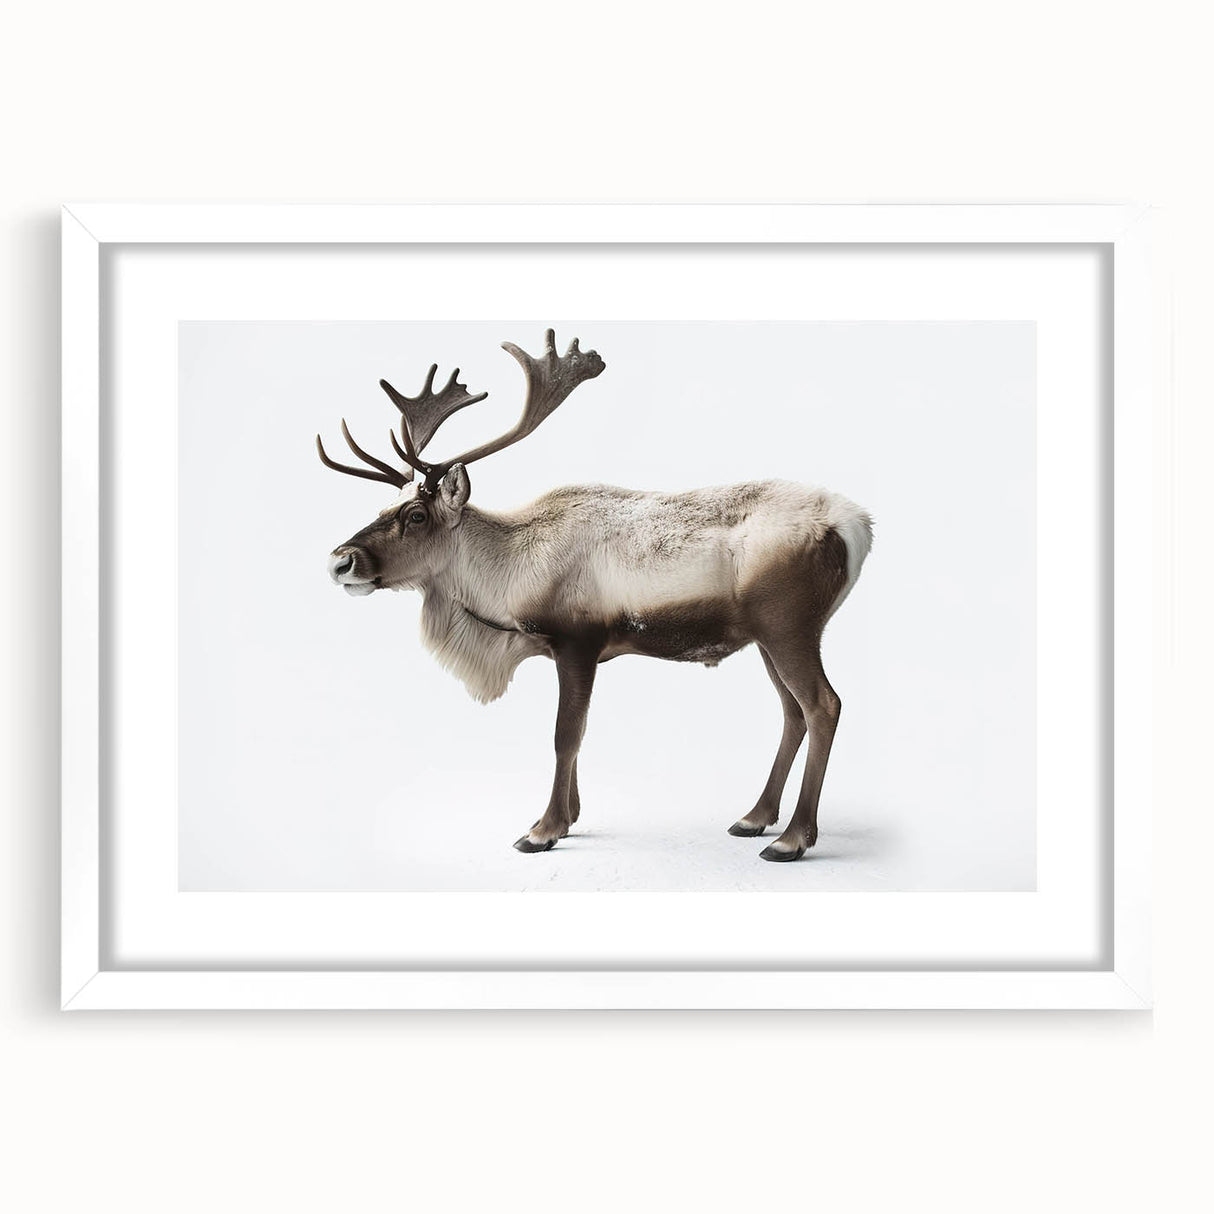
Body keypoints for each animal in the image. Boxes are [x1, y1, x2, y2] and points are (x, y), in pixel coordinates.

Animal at [318, 330, 873, 862]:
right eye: (384, 507)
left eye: (416, 515)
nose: (340, 560)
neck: (508, 575)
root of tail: (859, 526)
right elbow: (578, 737)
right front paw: (570, 816)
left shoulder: (577, 642)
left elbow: (565, 735)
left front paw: (542, 830)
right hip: (765, 637)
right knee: (792, 712)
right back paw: (755, 817)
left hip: (789, 626)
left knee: (823, 705)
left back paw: (792, 839)